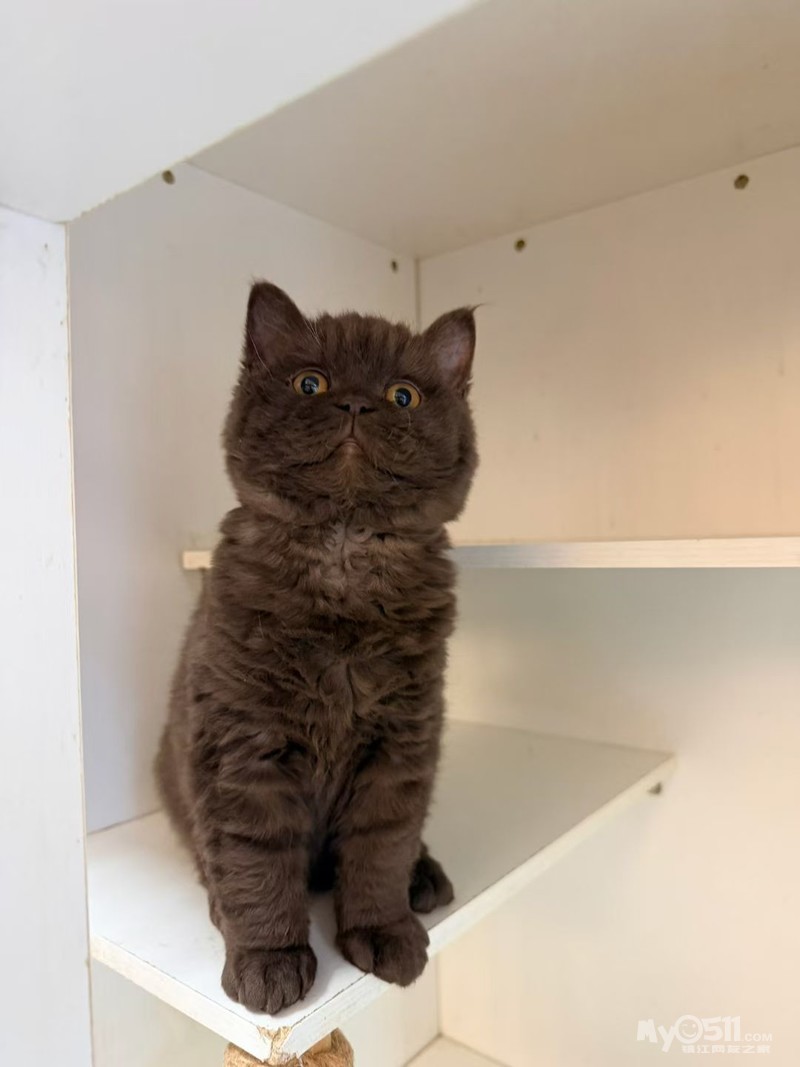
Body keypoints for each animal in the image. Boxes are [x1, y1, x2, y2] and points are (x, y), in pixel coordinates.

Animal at [156, 281, 477, 1014]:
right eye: (312, 383)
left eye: (402, 396)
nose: (356, 403)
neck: (345, 552)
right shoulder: (246, 748)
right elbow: (256, 860)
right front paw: (268, 960)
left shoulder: (400, 744)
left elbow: (381, 846)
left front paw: (384, 931)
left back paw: (424, 877)